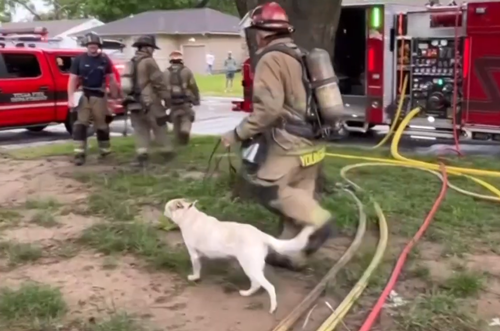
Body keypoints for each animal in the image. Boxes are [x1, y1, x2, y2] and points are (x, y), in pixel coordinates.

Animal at [164, 198, 312, 316]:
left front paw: (194, 278)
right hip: (253, 267)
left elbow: (196, 269)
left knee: (268, 286)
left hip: (249, 267)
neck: (190, 216)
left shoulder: (193, 254)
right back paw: (246, 293)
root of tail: (261, 234)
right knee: (257, 284)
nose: (164, 211)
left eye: (167, 207)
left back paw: (272, 308)